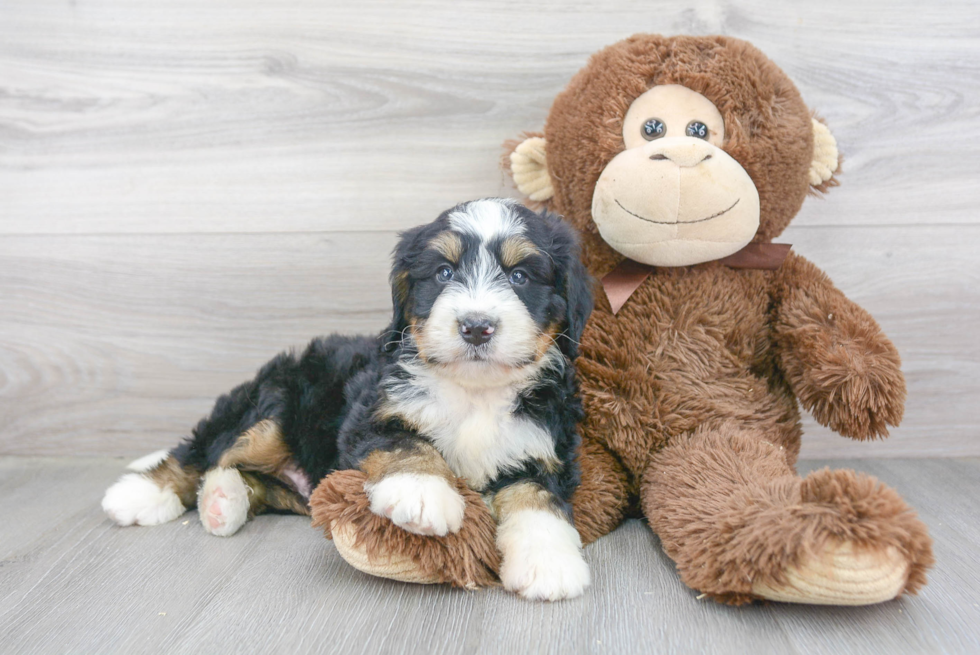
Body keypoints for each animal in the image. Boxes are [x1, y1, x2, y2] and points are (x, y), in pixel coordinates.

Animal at [99, 197, 592, 604]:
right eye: (444, 273)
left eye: (520, 276)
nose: (475, 326)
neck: (474, 390)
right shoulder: (371, 410)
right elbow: (406, 443)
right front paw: (422, 493)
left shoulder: (544, 447)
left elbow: (537, 499)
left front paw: (549, 562)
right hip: (273, 406)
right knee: (201, 453)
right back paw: (141, 494)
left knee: (249, 479)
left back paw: (223, 502)